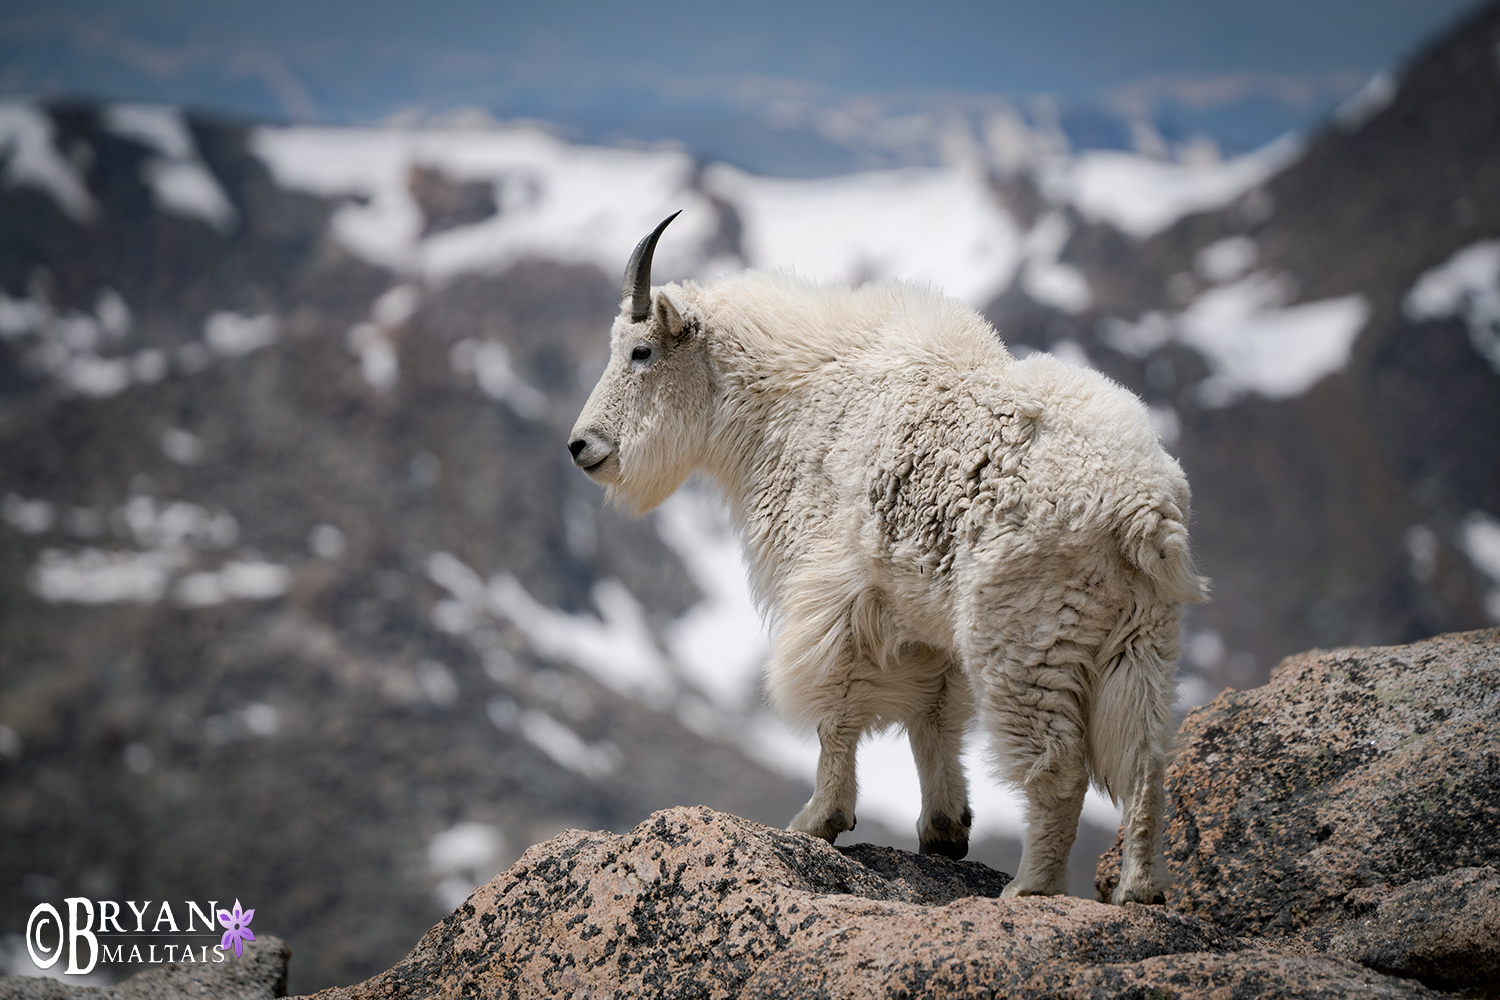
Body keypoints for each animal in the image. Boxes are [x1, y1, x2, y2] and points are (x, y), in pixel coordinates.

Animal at [567, 215, 1212, 905]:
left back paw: (1029, 889)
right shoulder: (920, 620)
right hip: (1141, 637)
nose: (580, 446)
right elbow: (933, 716)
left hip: (1024, 638)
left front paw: (818, 820)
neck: (789, 400)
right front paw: (944, 831)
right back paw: (1139, 889)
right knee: (1145, 755)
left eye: (641, 352)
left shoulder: (833, 598)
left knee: (1058, 764)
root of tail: (1145, 509)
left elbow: (837, 711)